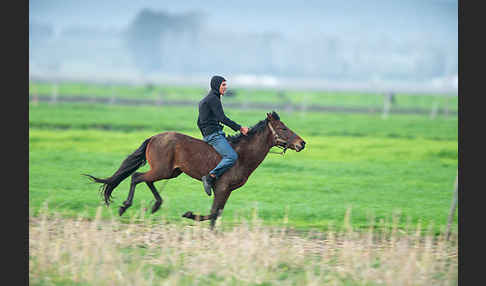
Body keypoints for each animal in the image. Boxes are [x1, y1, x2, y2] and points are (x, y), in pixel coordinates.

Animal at [83, 110, 304, 229]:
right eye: (283, 128)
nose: (302, 143)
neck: (241, 155)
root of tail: (153, 137)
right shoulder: (221, 187)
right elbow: (214, 213)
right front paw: (189, 215)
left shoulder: (226, 190)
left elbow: (217, 213)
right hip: (162, 170)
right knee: (137, 177)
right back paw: (125, 206)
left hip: (170, 171)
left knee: (146, 180)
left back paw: (156, 205)